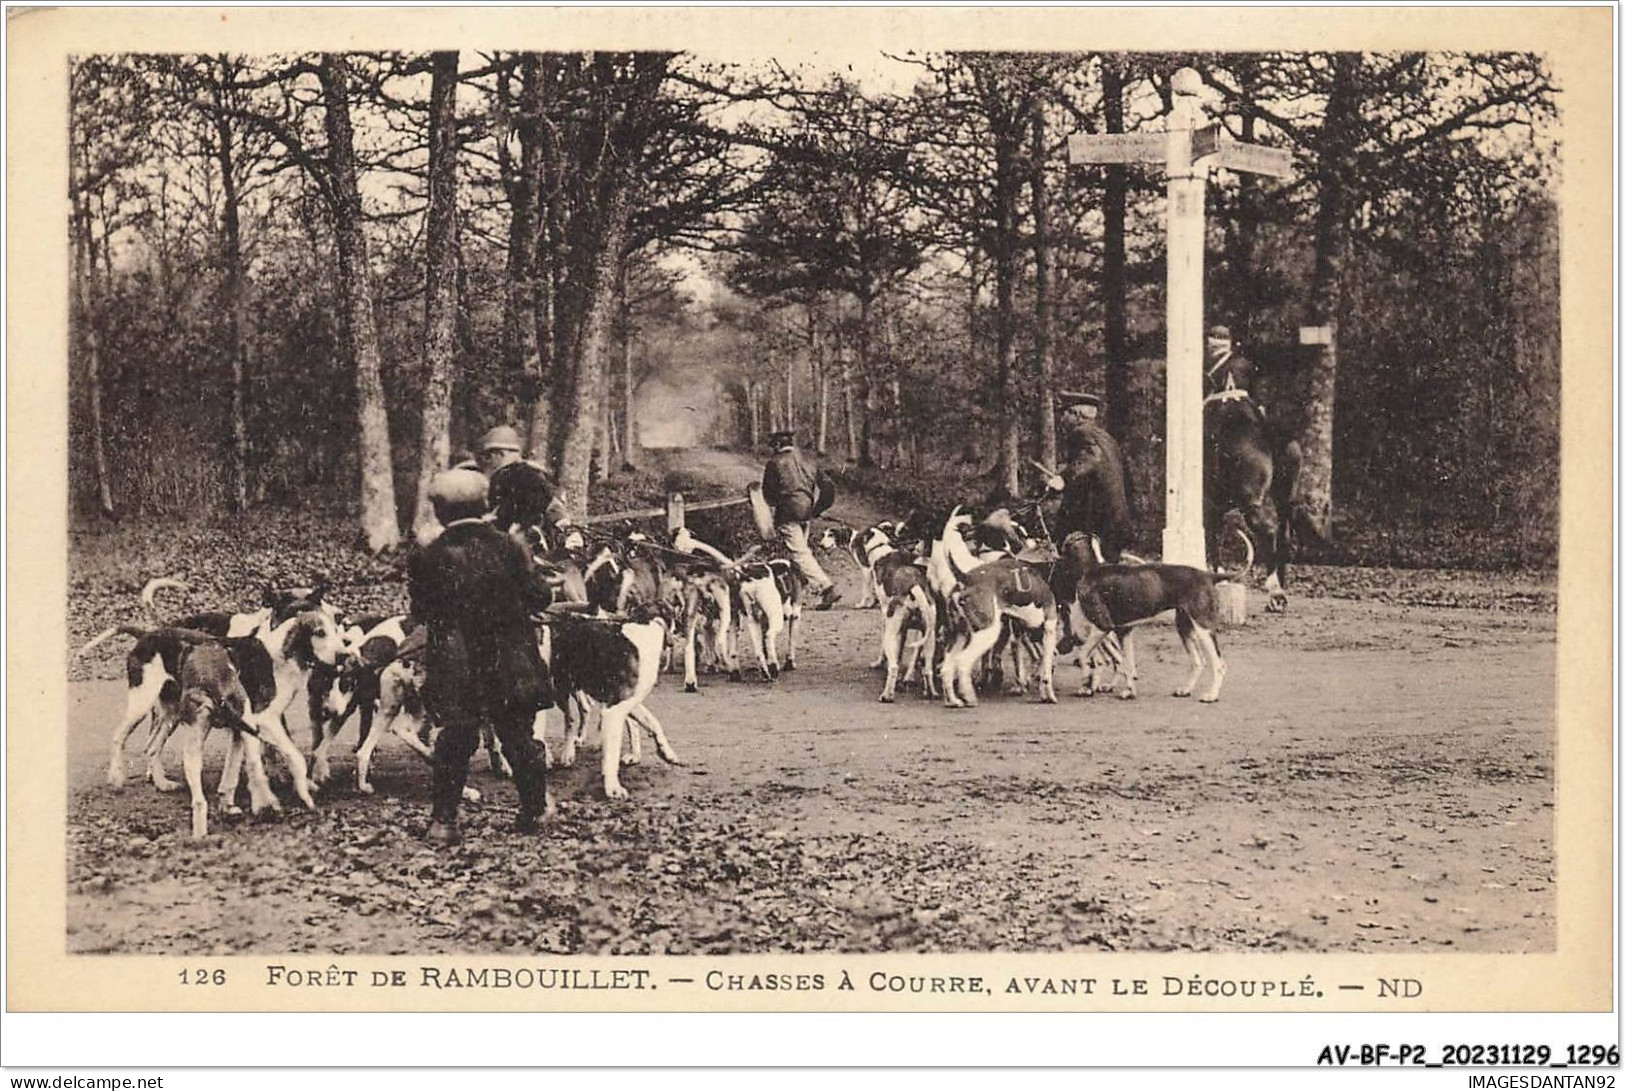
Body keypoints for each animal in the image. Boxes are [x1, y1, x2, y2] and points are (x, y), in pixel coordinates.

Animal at [1209, 393, 1306, 614]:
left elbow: (1213, 538)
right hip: (1286, 500)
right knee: (1284, 538)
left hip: (1252, 499)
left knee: (1267, 529)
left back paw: (1275, 592)